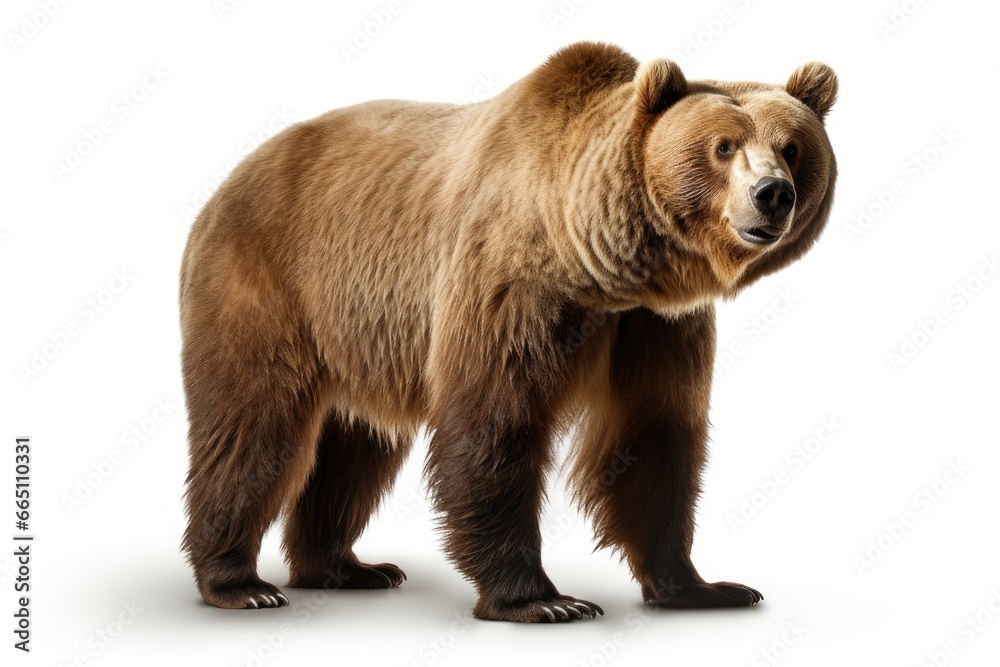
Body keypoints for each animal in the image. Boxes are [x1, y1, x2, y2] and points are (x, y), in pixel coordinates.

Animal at [179, 41, 837, 622]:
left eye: (791, 146)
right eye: (723, 147)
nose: (772, 194)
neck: (602, 264)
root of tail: (228, 181)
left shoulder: (656, 325)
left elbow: (656, 435)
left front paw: (703, 586)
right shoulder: (511, 286)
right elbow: (495, 427)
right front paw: (544, 599)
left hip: (360, 333)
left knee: (354, 445)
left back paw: (345, 568)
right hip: (268, 283)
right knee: (254, 425)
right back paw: (240, 584)